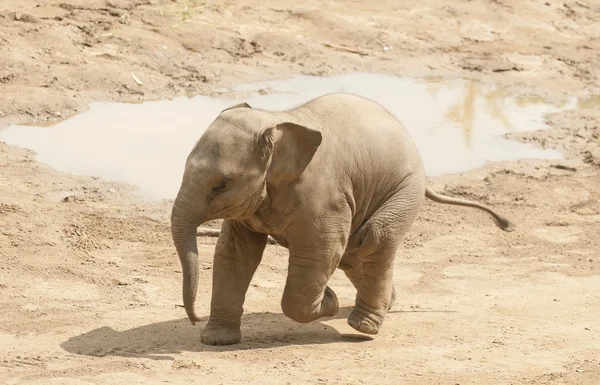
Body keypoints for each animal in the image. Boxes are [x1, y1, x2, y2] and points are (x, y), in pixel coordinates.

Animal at [171, 92, 512, 344]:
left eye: (221, 184)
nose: (194, 318)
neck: (278, 122)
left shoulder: (325, 198)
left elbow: (320, 252)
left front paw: (330, 300)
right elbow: (235, 253)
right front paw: (217, 340)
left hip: (405, 189)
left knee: (376, 239)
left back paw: (364, 328)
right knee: (354, 250)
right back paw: (386, 305)